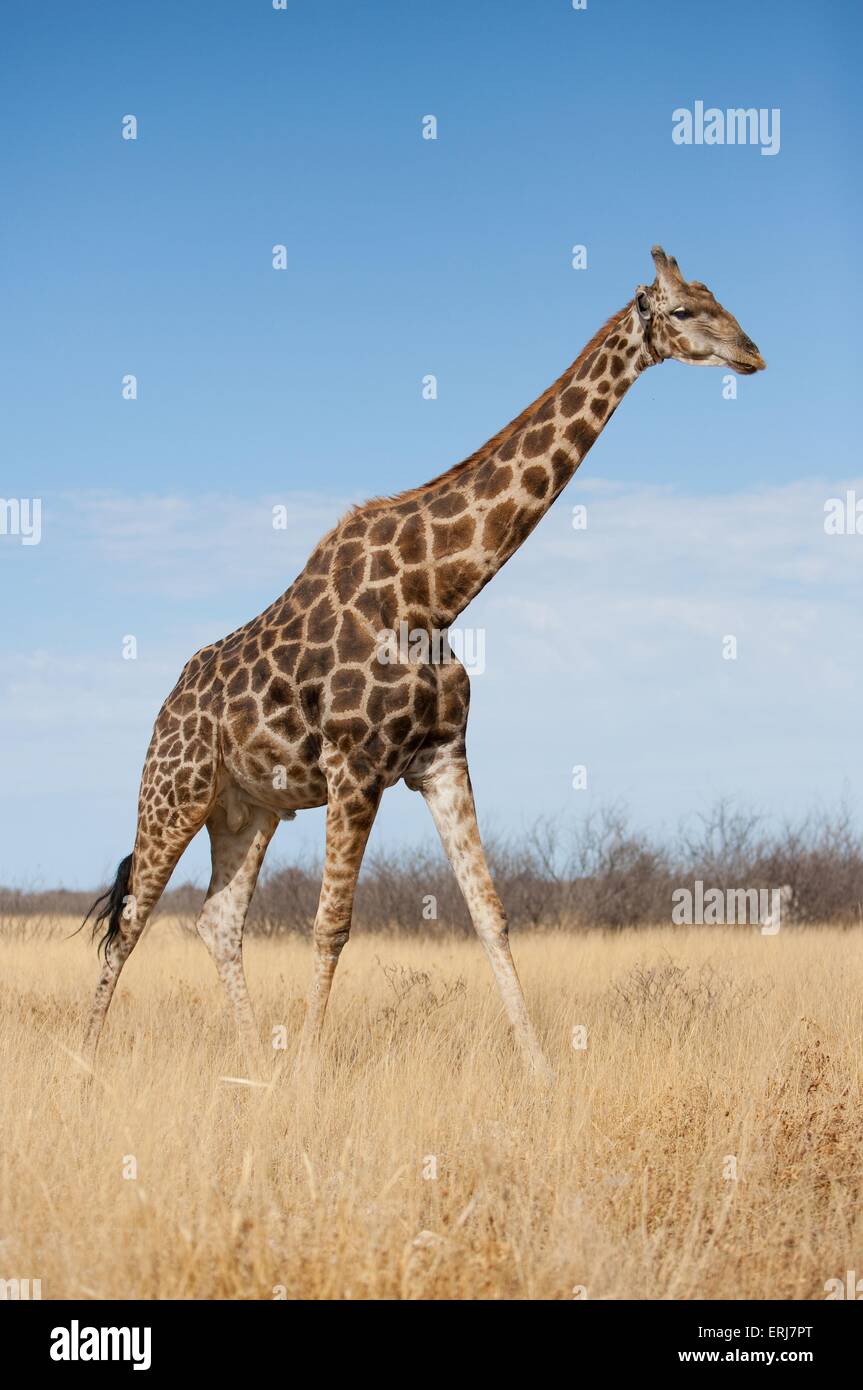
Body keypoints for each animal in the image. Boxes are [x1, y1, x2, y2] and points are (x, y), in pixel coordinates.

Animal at [81, 246, 765, 1082]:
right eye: (683, 310)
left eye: (718, 298)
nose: (751, 353)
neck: (436, 594)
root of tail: (166, 708)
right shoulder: (354, 768)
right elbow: (331, 925)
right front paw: (308, 1077)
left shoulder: (440, 757)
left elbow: (490, 914)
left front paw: (540, 1072)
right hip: (172, 794)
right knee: (130, 921)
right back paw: (87, 1063)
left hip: (248, 808)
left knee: (217, 920)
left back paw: (251, 1064)